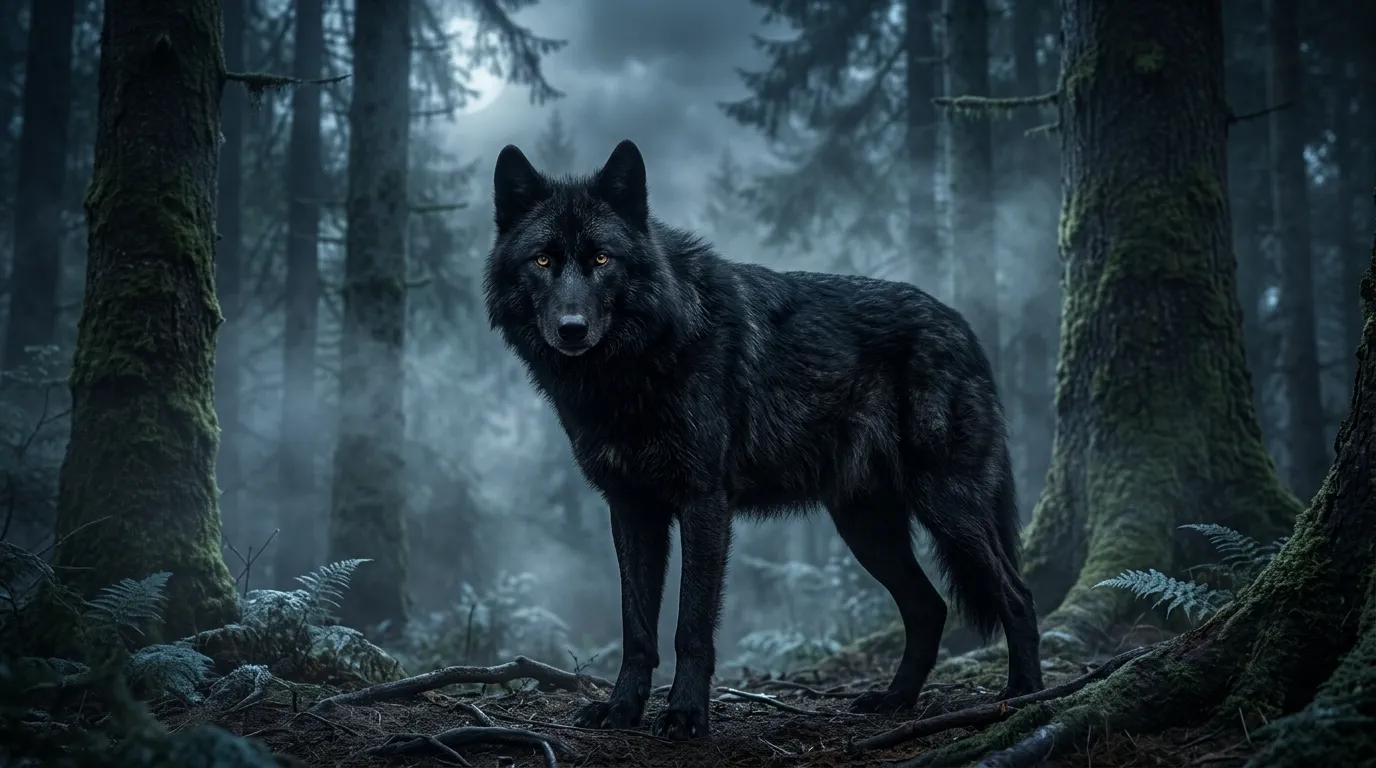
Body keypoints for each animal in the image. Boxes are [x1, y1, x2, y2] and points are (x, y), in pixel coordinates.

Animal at [483, 139, 1043, 741]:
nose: (571, 328)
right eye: (543, 260)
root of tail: (962, 324)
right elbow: (636, 629)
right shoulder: (632, 508)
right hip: (865, 528)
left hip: (946, 507)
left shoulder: (704, 502)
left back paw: (1026, 694)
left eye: (602, 260)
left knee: (1017, 595)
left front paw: (686, 716)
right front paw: (621, 711)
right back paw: (894, 700)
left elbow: (690, 627)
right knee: (928, 608)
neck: (636, 365)